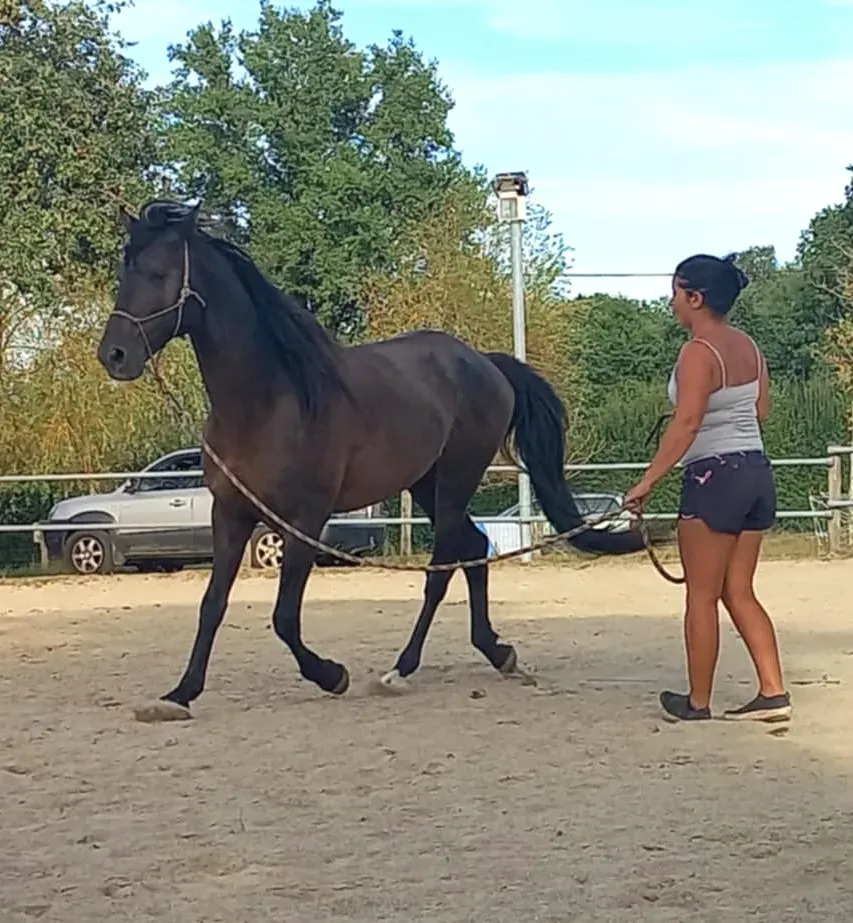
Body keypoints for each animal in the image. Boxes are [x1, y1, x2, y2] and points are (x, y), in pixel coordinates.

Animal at [96, 199, 644, 713]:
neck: (270, 402)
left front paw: (331, 674)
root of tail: (485, 364)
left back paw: (402, 668)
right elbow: (212, 604)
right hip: (425, 485)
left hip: (455, 481)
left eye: (158, 273)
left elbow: (284, 617)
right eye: (125, 272)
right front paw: (181, 693)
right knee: (471, 550)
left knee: (443, 568)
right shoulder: (229, 514)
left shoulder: (305, 519)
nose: (114, 356)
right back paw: (496, 651)